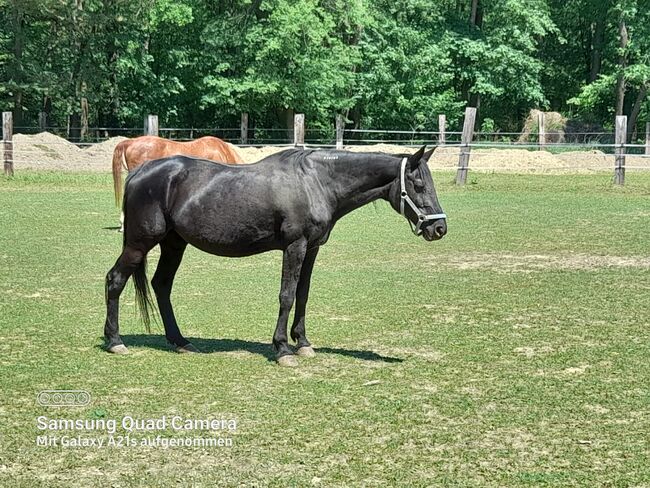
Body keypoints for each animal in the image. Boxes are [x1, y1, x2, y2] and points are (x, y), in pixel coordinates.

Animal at [104, 145, 446, 366]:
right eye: (417, 184)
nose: (439, 228)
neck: (316, 182)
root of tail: (141, 171)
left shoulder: (312, 249)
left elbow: (303, 295)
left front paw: (303, 344)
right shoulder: (295, 247)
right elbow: (286, 295)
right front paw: (283, 349)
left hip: (174, 244)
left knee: (161, 285)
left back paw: (180, 342)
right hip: (140, 243)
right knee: (115, 280)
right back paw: (115, 342)